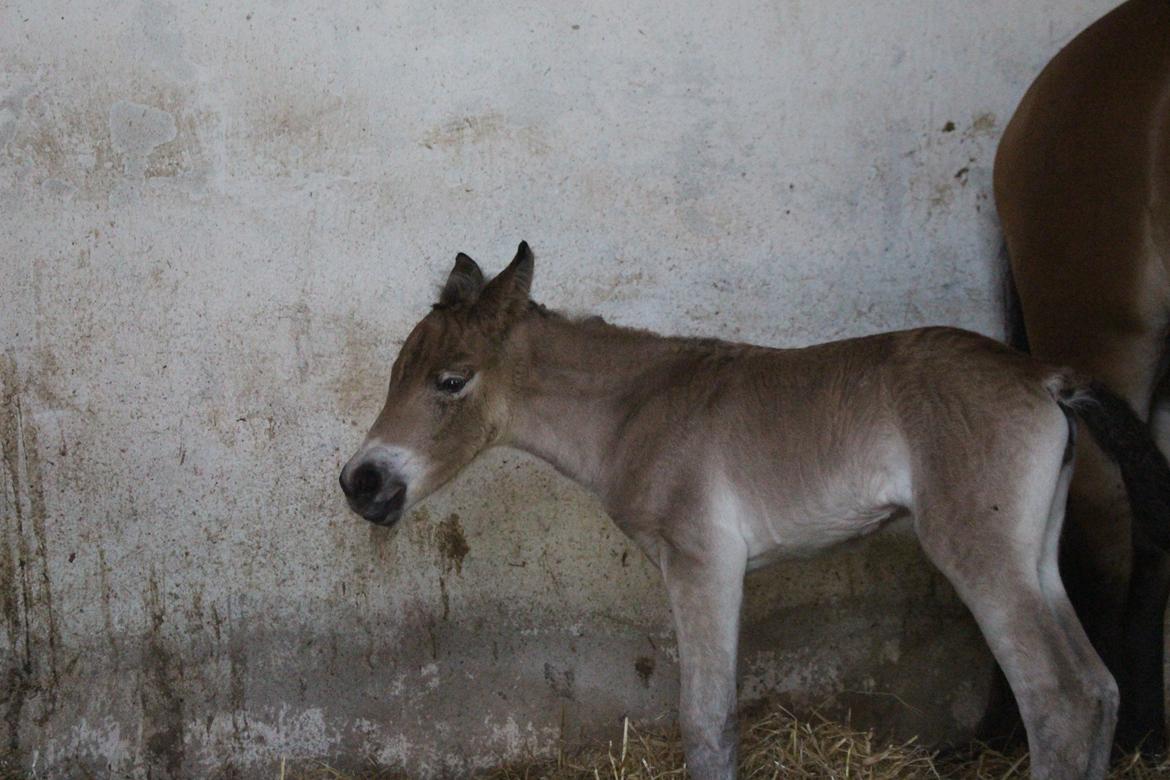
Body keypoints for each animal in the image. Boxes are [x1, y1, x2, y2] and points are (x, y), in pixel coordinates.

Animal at [336, 240, 1170, 776]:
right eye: (397, 371)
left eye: (451, 381)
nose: (362, 483)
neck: (638, 410)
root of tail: (1047, 379)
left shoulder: (703, 561)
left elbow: (706, 725)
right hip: (1036, 556)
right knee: (1098, 690)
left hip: (982, 553)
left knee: (1060, 701)